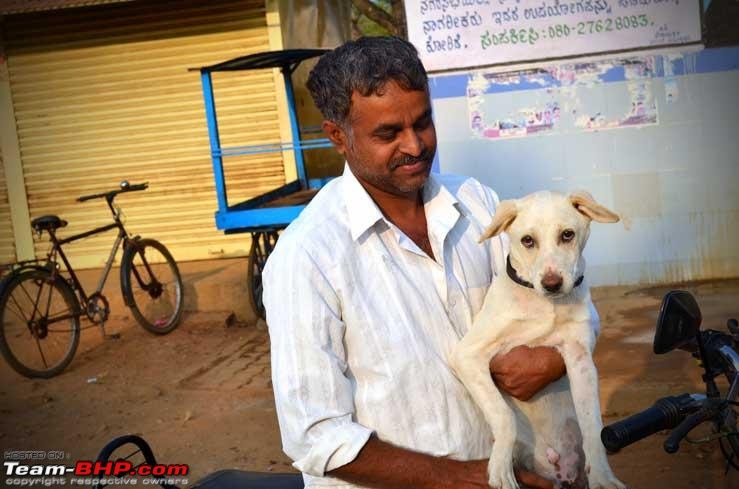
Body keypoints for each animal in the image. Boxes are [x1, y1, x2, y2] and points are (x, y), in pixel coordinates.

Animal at [448, 190, 628, 488]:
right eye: (527, 240)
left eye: (567, 235)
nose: (552, 284)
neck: (544, 304)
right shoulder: (467, 355)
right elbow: (504, 416)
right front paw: (500, 469)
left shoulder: (580, 359)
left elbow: (593, 425)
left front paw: (603, 476)